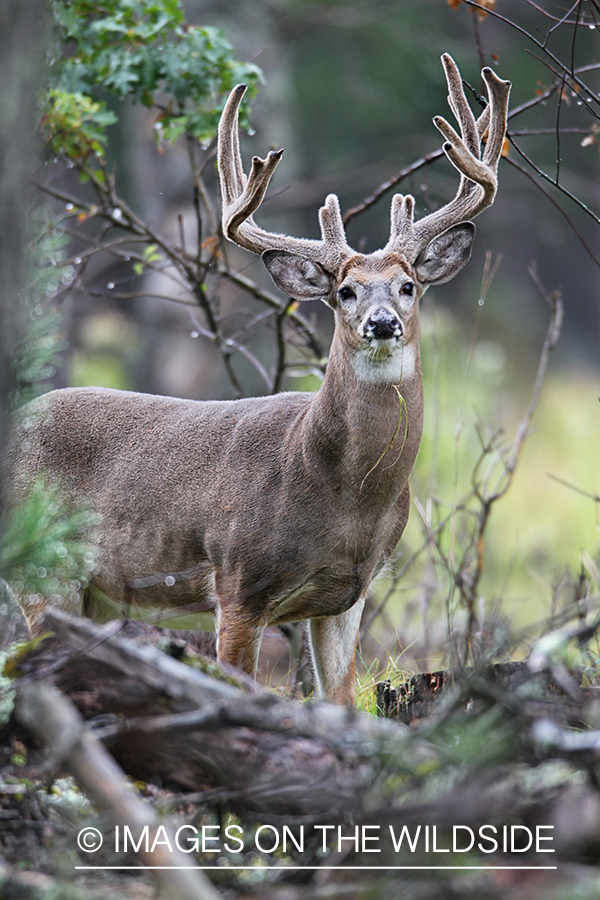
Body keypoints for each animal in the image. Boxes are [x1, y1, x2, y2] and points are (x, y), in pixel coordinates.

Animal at [9, 54, 508, 704]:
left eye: (408, 286)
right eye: (344, 292)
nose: (382, 323)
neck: (339, 492)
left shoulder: (349, 596)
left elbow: (340, 699)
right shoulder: (237, 582)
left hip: (93, 595)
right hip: (42, 569)